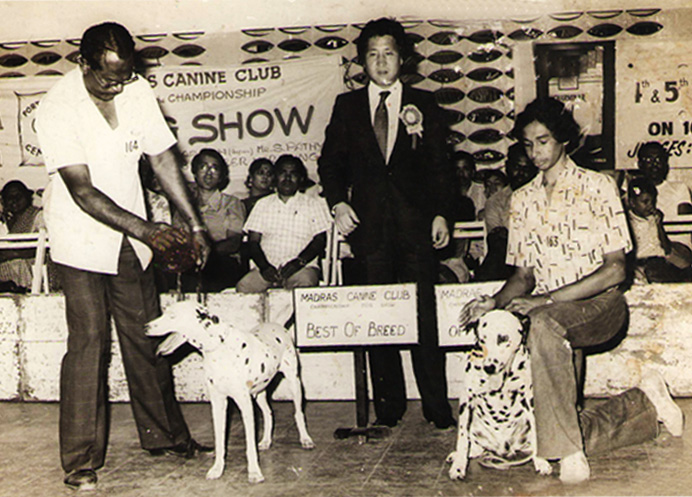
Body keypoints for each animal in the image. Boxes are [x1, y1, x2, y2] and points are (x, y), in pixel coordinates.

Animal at [146, 300, 315, 483]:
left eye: (172, 316)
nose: (145, 327)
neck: (220, 347)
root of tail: (276, 324)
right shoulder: (219, 403)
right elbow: (220, 441)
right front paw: (217, 469)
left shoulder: (245, 403)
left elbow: (250, 445)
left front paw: (254, 472)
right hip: (259, 394)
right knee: (269, 413)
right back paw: (266, 441)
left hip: (294, 383)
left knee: (298, 413)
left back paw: (305, 439)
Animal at [446, 309, 551, 480]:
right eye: (482, 340)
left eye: (503, 338)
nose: (489, 367)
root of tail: (502, 449)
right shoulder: (466, 400)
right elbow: (462, 439)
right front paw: (458, 466)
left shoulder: (529, 399)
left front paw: (540, 461)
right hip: (474, 426)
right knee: (472, 445)